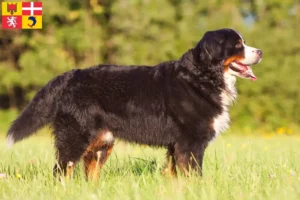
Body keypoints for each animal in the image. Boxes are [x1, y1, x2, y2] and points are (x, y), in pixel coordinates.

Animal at [5, 28, 262, 180]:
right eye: (237, 45)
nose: (260, 51)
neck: (202, 76)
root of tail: (71, 74)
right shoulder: (191, 142)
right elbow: (194, 174)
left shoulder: (176, 145)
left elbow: (175, 174)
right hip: (74, 137)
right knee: (61, 171)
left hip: (101, 143)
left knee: (89, 173)